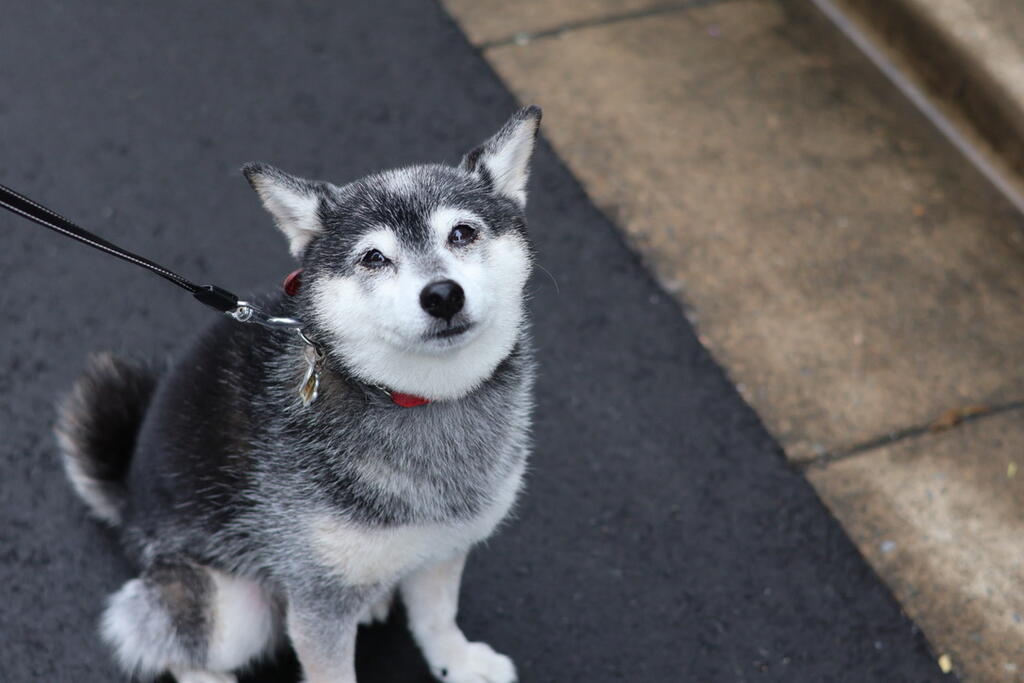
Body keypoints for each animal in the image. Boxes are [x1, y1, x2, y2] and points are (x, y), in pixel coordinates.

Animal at [55, 106, 542, 683]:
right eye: (373, 258)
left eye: (462, 233)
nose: (442, 295)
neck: (415, 400)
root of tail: (129, 502)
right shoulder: (316, 598)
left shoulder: (447, 543)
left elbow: (437, 615)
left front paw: (456, 661)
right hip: (231, 604)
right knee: (169, 645)